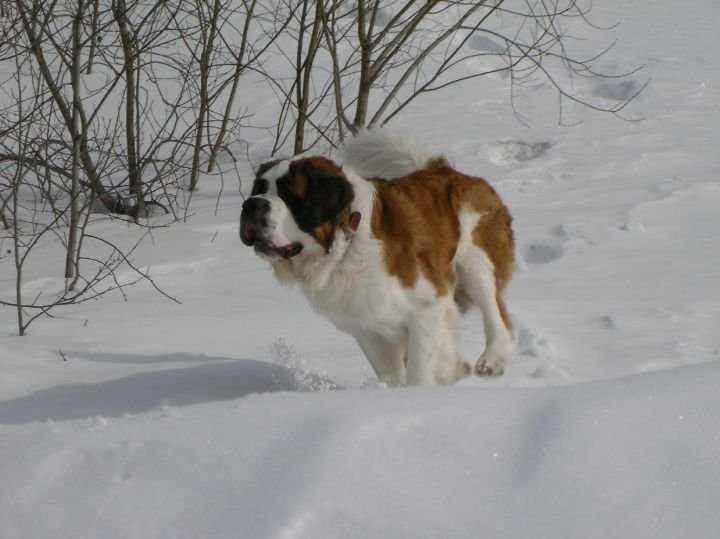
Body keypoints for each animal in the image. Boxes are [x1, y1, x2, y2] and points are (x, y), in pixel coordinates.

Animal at [240, 131, 516, 386]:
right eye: (259, 189)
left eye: (289, 196)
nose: (251, 205)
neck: (347, 245)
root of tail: (443, 169)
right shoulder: (366, 328)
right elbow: (391, 374)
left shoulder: (427, 309)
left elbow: (418, 374)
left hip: (475, 259)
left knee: (497, 318)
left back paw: (492, 360)